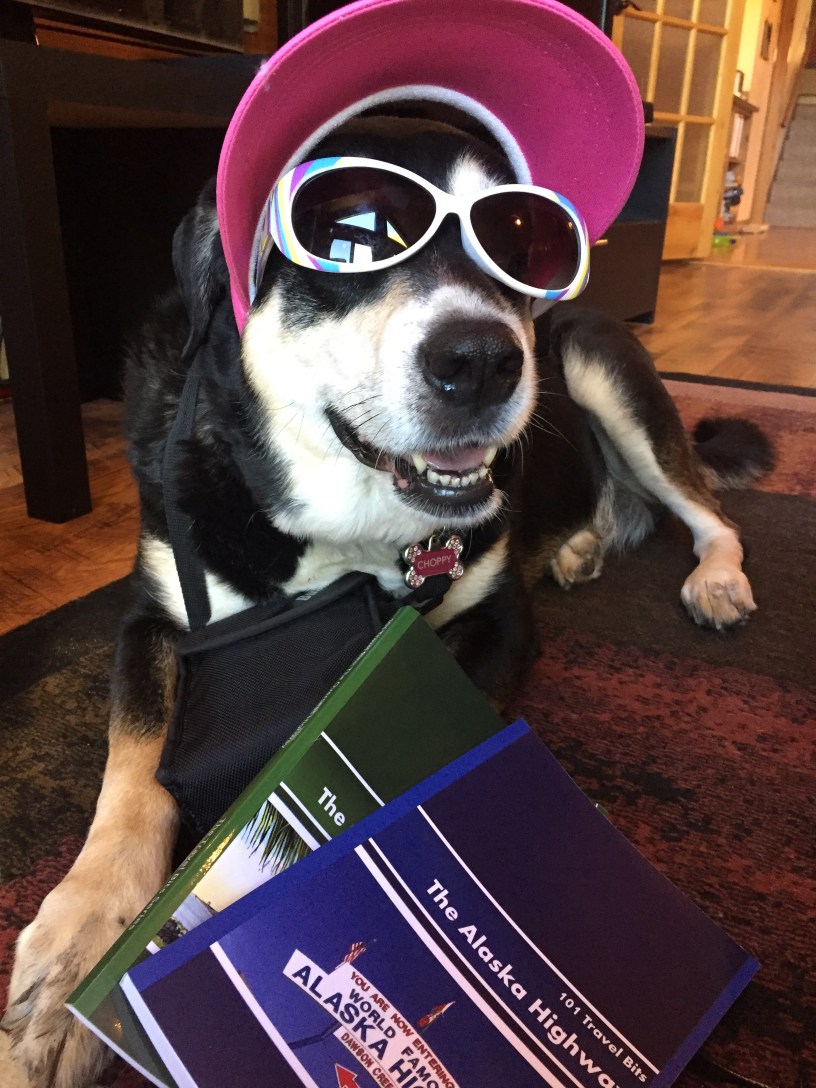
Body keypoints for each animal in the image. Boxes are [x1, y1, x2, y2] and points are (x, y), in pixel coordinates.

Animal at [2, 112, 772, 1087]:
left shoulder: (498, 618)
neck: (349, 521)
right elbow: (134, 771)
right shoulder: (153, 614)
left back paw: (714, 578)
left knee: (703, 506)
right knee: (625, 505)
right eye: (352, 236)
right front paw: (73, 960)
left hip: (605, 365)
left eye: (517, 238)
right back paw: (584, 546)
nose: (479, 361)